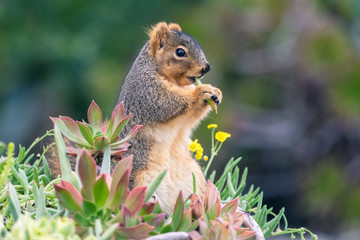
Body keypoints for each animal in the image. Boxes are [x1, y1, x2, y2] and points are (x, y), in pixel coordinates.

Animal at [117, 22, 222, 213]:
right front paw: (201, 92)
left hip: (193, 175)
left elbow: (191, 117)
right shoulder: (146, 93)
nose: (206, 68)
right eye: (180, 52)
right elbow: (166, 103)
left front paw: (216, 93)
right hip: (138, 180)